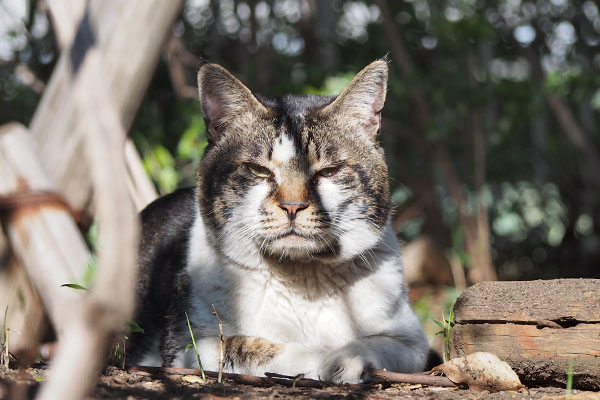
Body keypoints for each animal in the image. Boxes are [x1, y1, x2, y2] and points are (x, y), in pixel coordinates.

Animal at [126, 61, 428, 382]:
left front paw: (347, 359)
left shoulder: (412, 342)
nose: (292, 206)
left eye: (329, 172)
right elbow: (254, 348)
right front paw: (324, 358)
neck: (304, 279)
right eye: (258, 171)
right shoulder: (187, 344)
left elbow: (377, 345)